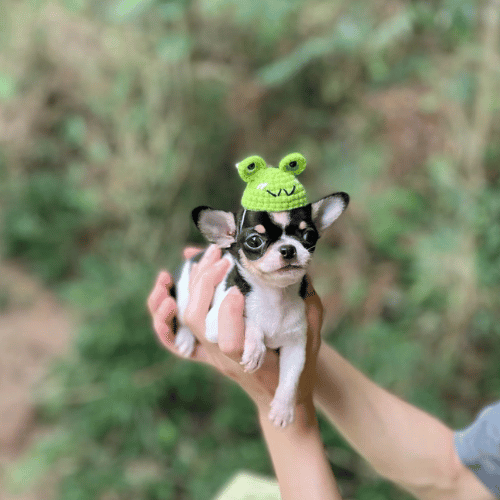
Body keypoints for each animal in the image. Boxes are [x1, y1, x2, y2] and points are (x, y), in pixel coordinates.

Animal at [172, 152, 348, 426]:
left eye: (309, 236)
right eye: (255, 241)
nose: (288, 249)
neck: (275, 297)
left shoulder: (295, 347)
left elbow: (289, 381)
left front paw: (283, 409)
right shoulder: (214, 323)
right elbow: (250, 322)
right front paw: (255, 347)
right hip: (185, 291)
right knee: (183, 316)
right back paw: (185, 338)